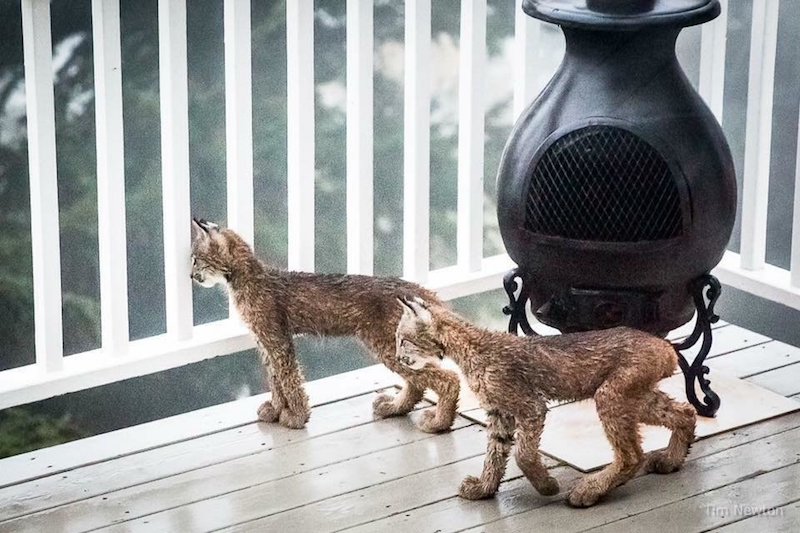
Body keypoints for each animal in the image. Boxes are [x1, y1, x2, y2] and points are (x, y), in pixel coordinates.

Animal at [190, 218, 460, 430]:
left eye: (194, 259)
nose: (191, 276)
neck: (241, 277)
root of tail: (411, 286)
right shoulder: (264, 340)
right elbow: (274, 378)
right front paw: (276, 410)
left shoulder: (277, 340)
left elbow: (289, 378)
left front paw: (297, 417)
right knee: (418, 382)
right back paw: (395, 407)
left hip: (388, 344)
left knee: (448, 378)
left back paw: (439, 423)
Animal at [396, 298, 696, 504]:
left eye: (402, 340)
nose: (398, 358)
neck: (463, 347)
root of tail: (664, 345)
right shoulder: (499, 412)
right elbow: (494, 453)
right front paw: (484, 489)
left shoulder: (530, 406)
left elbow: (523, 454)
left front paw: (547, 486)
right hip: (634, 396)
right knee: (686, 411)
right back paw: (670, 460)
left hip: (610, 394)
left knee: (632, 455)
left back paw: (589, 491)